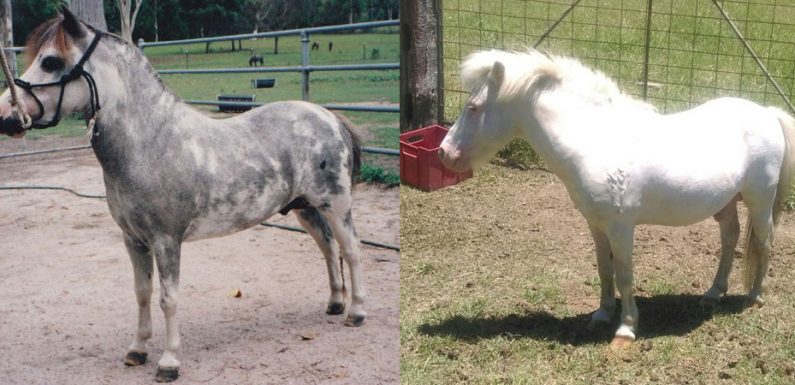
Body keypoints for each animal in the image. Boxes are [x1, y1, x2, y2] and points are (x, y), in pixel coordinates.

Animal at [0, 9, 366, 380]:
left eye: (50, 61)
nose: (6, 116)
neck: (151, 144)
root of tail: (329, 116)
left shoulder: (166, 241)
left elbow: (168, 298)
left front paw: (169, 361)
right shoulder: (134, 240)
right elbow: (142, 293)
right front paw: (137, 350)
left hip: (336, 205)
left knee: (350, 250)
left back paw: (356, 312)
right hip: (306, 208)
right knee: (327, 247)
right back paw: (335, 303)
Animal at [442, 48, 795, 348]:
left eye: (473, 107)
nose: (444, 153)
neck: (596, 143)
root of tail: (767, 114)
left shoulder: (621, 227)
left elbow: (625, 274)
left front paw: (626, 328)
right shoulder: (597, 225)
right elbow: (604, 269)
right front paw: (601, 315)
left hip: (759, 202)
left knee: (763, 242)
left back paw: (755, 297)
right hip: (726, 203)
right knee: (730, 238)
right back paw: (712, 294)